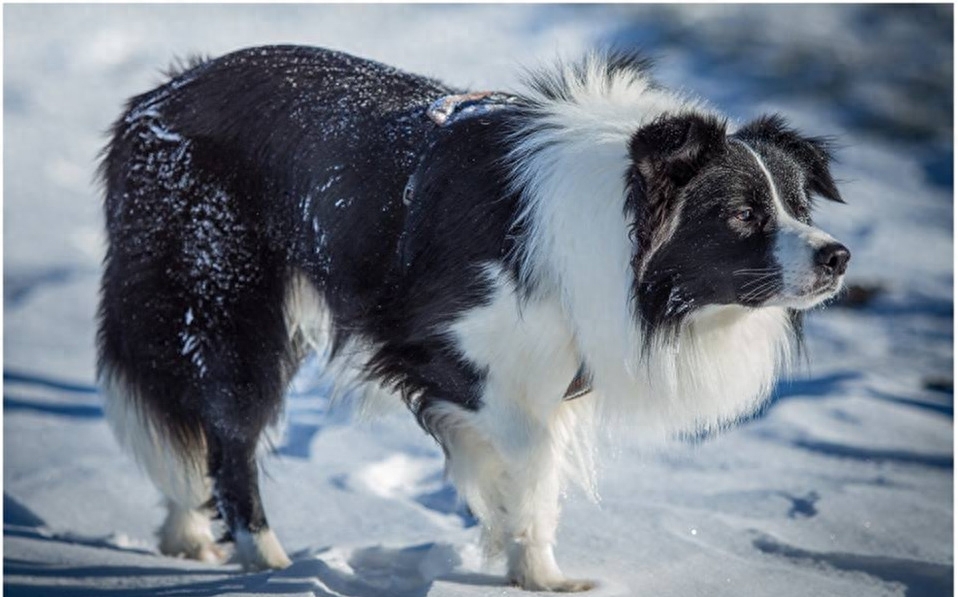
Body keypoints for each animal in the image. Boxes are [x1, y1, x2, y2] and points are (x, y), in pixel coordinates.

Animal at [95, 47, 848, 592]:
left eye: (798, 207)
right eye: (742, 215)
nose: (838, 256)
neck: (604, 223)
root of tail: (152, 100)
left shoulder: (550, 363)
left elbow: (533, 472)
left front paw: (525, 560)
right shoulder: (448, 349)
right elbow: (531, 462)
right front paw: (540, 574)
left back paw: (186, 532)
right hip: (228, 299)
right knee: (228, 433)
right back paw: (270, 562)